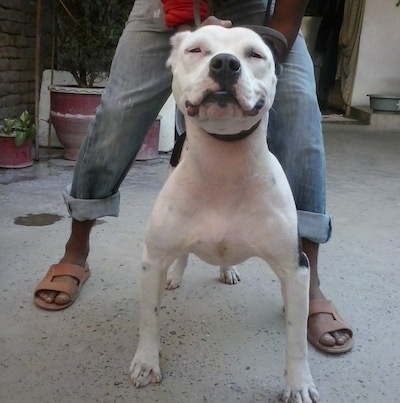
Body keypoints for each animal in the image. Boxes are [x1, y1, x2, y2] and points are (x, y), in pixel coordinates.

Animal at [130, 26, 318, 403]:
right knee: (182, 256)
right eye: (196, 50)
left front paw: (298, 384)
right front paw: (146, 362)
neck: (224, 166)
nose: (226, 64)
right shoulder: (151, 261)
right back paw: (175, 276)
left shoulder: (295, 268)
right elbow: (149, 318)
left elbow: (296, 339)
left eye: (255, 55)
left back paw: (227, 269)